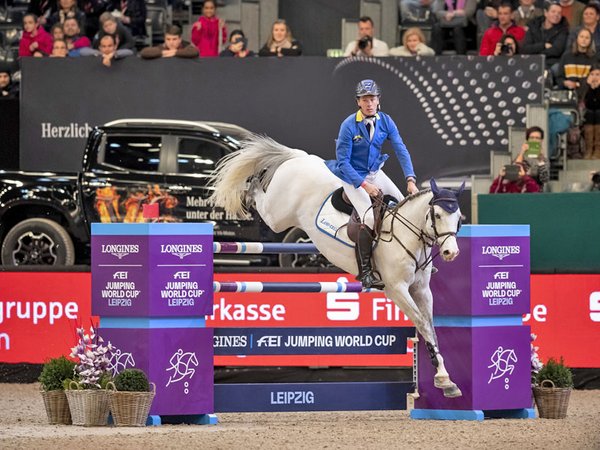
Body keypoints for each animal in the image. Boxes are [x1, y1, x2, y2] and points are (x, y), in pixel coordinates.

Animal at [210, 134, 464, 398]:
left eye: (459, 218)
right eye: (436, 216)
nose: (451, 252)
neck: (407, 234)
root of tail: (299, 157)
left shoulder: (421, 290)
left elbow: (430, 327)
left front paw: (444, 377)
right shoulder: (396, 289)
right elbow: (421, 322)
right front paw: (443, 377)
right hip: (276, 215)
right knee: (261, 199)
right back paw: (250, 187)